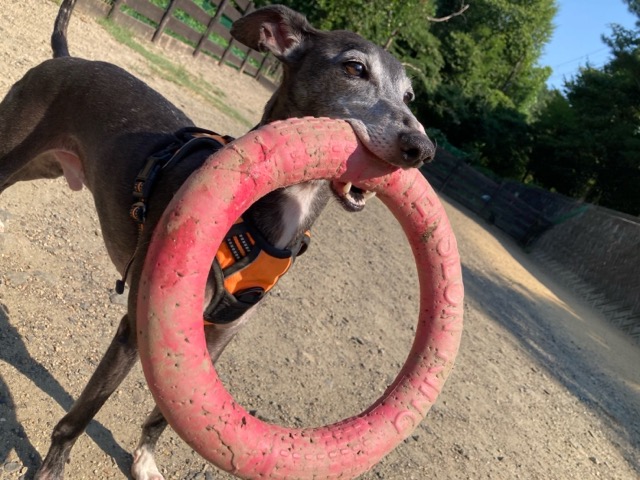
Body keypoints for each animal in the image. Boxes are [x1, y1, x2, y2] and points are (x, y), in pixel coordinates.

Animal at [0, 0, 435, 478]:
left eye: (410, 97)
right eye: (355, 68)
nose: (421, 148)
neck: (260, 222)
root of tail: (66, 59)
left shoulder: (222, 333)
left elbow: (164, 415)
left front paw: (145, 461)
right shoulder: (137, 327)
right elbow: (81, 415)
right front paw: (52, 467)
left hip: (46, 166)